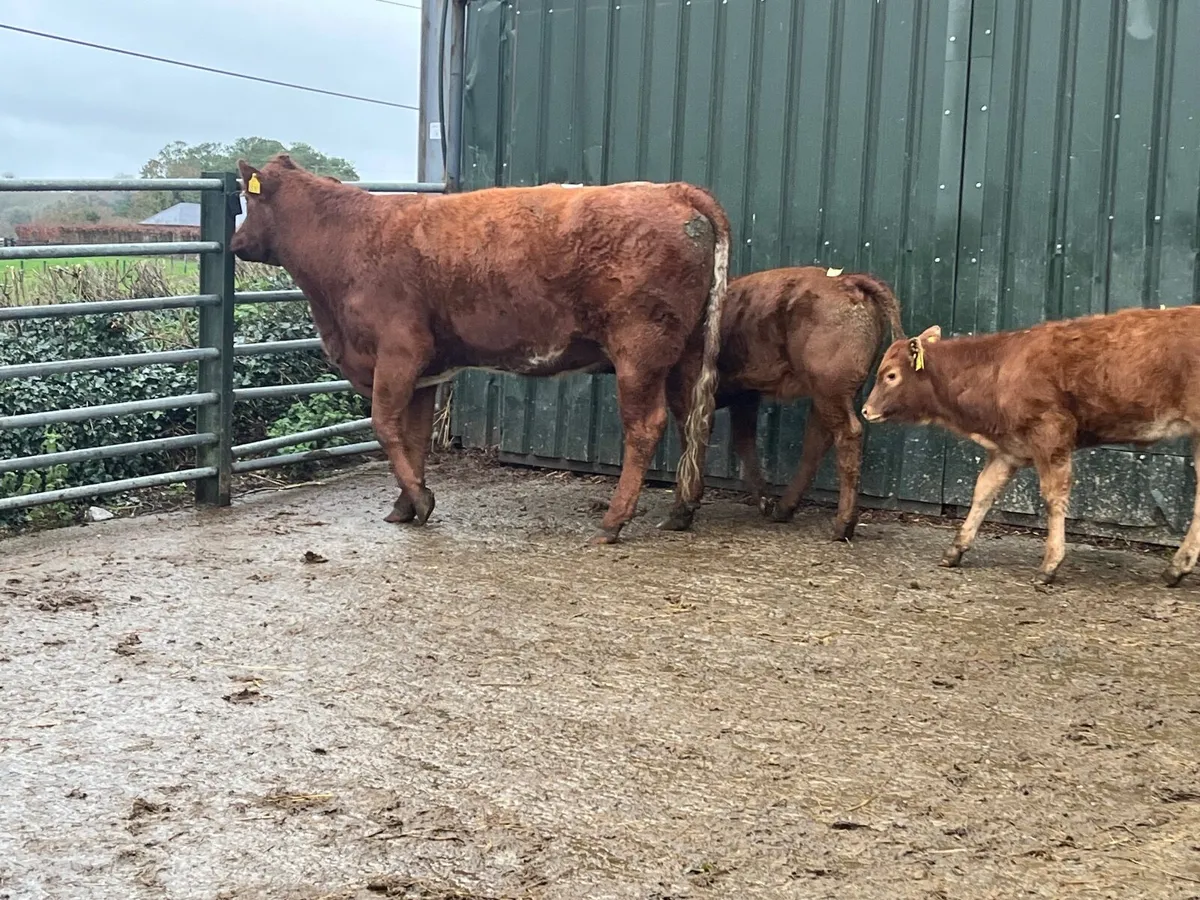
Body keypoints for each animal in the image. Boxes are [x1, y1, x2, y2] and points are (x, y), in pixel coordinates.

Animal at [228, 154, 731, 544]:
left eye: (248, 200)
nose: (235, 242)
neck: (346, 238)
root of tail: (674, 190)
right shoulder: (425, 371)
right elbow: (414, 437)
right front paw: (405, 504)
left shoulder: (399, 352)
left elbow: (385, 427)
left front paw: (420, 500)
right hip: (685, 353)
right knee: (693, 419)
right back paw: (681, 511)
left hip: (639, 351)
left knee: (646, 427)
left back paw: (613, 522)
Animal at [675, 267, 904, 541]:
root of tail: (847, 280)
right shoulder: (746, 395)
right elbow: (744, 441)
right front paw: (764, 501)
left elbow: (691, 441)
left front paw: (681, 509)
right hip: (825, 395)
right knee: (816, 442)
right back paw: (783, 509)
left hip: (829, 391)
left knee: (846, 435)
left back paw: (843, 525)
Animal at [861, 306, 1200, 586]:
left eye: (890, 375)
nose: (866, 410)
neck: (998, 369)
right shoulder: (1007, 451)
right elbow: (983, 492)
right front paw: (955, 549)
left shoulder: (1051, 433)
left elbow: (1053, 497)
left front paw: (1050, 565)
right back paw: (1176, 567)